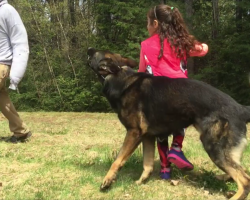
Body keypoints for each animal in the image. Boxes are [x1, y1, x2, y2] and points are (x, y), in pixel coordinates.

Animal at [87, 47, 250, 199]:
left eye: (95, 54)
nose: (89, 49)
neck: (119, 78)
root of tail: (241, 108)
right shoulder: (147, 136)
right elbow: (147, 164)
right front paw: (141, 182)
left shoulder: (133, 133)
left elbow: (118, 160)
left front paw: (107, 181)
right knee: (242, 171)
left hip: (215, 148)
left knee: (245, 180)